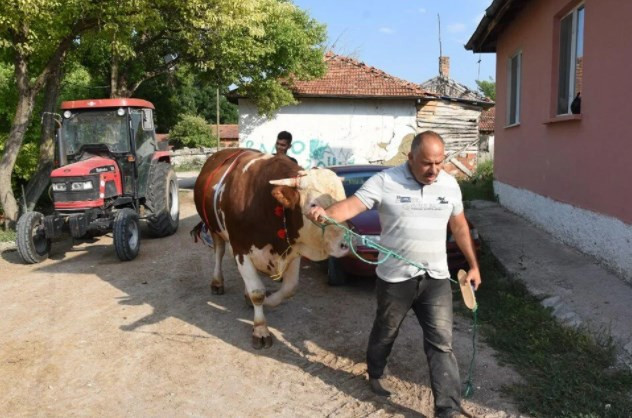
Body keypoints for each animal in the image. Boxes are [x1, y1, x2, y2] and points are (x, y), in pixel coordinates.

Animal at [194, 149, 348, 348]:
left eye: (343, 200)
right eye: (314, 204)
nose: (345, 243)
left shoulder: (293, 249)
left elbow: (289, 288)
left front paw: (269, 300)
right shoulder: (241, 249)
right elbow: (257, 292)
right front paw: (260, 329)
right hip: (214, 229)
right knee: (219, 253)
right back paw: (217, 282)